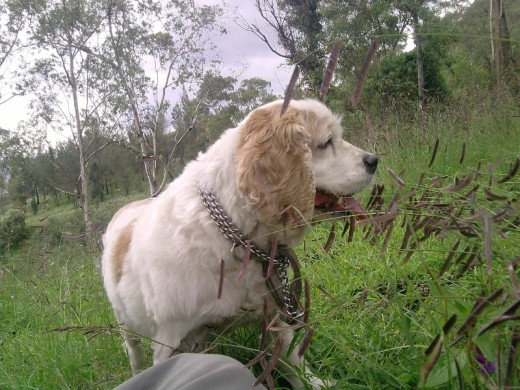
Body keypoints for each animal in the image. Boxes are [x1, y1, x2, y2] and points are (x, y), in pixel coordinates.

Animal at [101, 99, 378, 388]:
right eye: (326, 142)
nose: (374, 161)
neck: (236, 238)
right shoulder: (170, 341)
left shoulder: (273, 313)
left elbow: (292, 359)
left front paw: (313, 383)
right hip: (124, 323)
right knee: (134, 352)